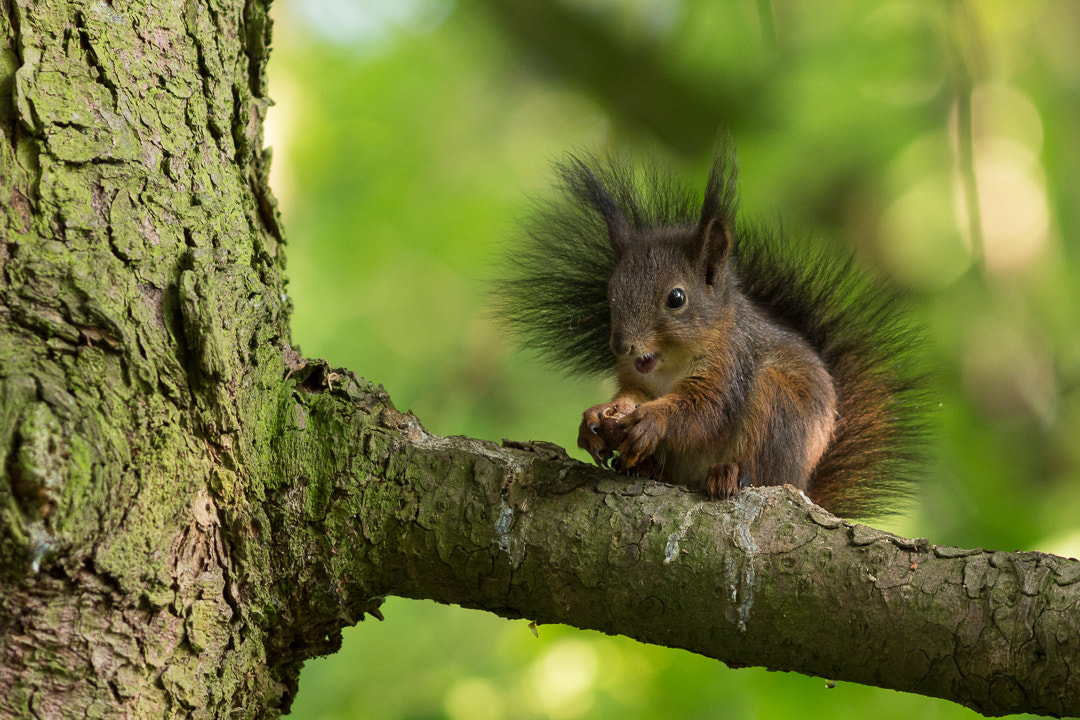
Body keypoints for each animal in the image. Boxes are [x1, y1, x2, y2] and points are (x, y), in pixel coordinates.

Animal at [494, 142, 924, 518]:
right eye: (610, 291)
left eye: (676, 298)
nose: (621, 346)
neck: (668, 364)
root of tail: (803, 484)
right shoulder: (639, 378)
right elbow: (632, 395)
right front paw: (600, 416)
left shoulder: (730, 365)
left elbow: (706, 411)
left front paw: (652, 422)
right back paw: (644, 467)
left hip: (778, 408)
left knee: (759, 469)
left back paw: (729, 474)